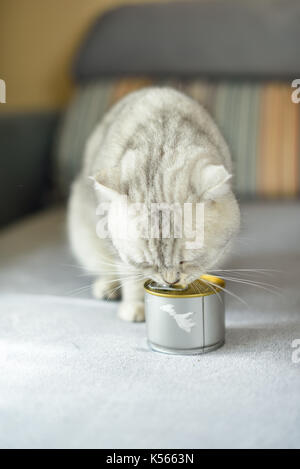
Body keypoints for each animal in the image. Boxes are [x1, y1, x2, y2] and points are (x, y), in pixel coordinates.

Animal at [67, 87, 239, 322]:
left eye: (185, 261)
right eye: (148, 263)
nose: (170, 282)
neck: (162, 140)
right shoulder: (121, 254)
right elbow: (131, 277)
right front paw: (135, 307)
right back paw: (107, 287)